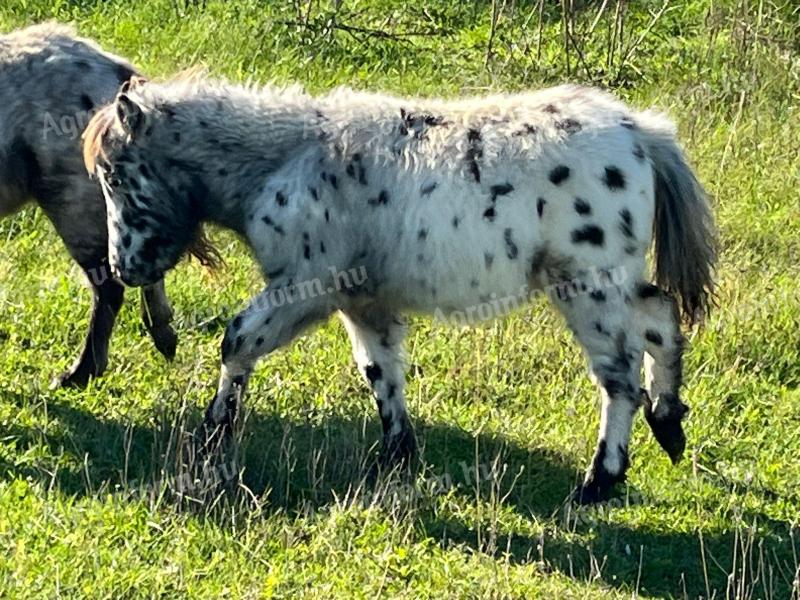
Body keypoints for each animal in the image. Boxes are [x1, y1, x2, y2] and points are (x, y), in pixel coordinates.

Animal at [83, 77, 720, 504]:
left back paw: (599, 480)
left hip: (588, 289)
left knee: (619, 377)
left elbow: (236, 341)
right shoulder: (365, 301)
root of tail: (640, 133)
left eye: (114, 174)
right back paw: (670, 426)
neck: (288, 159)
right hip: (612, 283)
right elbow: (380, 372)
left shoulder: (303, 288)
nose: (122, 266)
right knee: (662, 318)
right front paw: (395, 456)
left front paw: (211, 437)